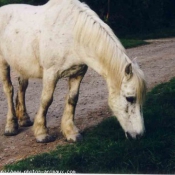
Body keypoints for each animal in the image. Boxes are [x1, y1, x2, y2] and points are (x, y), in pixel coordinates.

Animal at [0, 0, 146, 143]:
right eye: (130, 98)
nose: (139, 135)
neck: (73, 34)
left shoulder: (78, 73)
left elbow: (72, 99)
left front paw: (71, 132)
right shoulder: (50, 74)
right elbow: (46, 100)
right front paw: (42, 133)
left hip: (22, 64)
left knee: (22, 87)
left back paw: (24, 119)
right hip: (3, 62)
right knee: (9, 90)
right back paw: (11, 127)